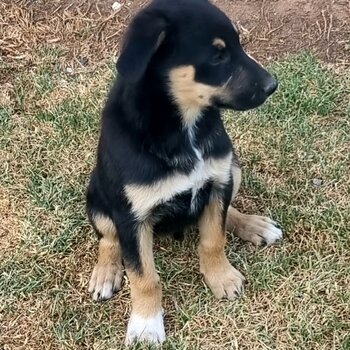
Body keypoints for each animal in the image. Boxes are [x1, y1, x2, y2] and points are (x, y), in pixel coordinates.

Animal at [87, 0, 282, 344]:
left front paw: (221, 278)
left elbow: (214, 237)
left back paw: (253, 225)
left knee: (226, 211)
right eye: (218, 56)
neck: (182, 127)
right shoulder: (131, 216)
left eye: (239, 45)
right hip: (96, 194)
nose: (273, 86)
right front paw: (146, 323)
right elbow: (143, 275)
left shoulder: (217, 182)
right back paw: (106, 272)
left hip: (233, 168)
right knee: (108, 238)